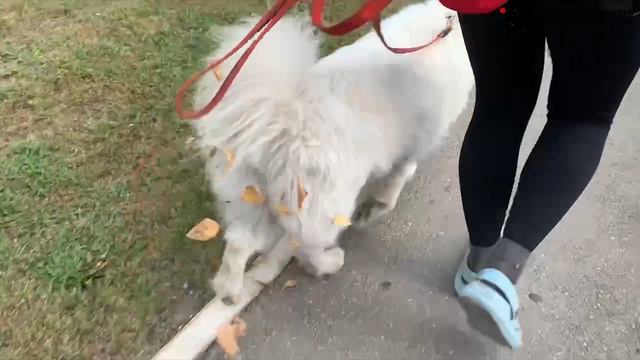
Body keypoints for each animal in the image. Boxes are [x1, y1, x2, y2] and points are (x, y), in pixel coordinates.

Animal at [192, 0, 472, 302]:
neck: (448, 25)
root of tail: (283, 120)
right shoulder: (420, 142)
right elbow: (397, 180)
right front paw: (377, 207)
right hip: (324, 204)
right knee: (306, 247)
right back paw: (329, 263)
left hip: (249, 197)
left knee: (239, 243)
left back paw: (229, 290)